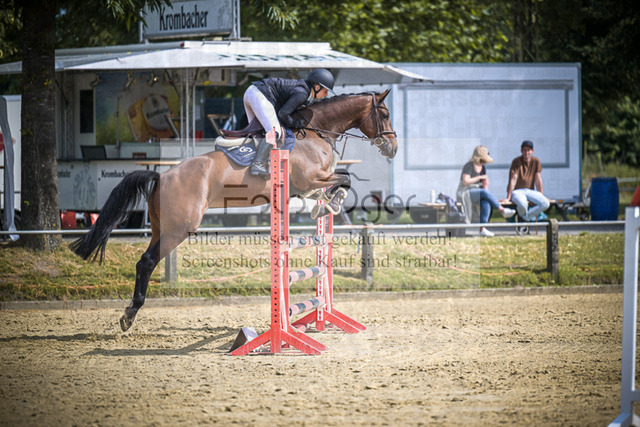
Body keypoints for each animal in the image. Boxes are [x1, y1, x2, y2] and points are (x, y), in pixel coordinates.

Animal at [70, 89, 398, 332]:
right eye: (384, 114)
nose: (392, 148)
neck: (314, 133)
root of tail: (161, 176)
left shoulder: (311, 183)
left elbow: (338, 181)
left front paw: (326, 204)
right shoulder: (309, 179)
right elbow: (345, 179)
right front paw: (333, 202)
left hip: (161, 227)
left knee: (145, 261)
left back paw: (130, 313)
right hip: (179, 229)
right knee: (147, 261)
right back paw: (129, 314)